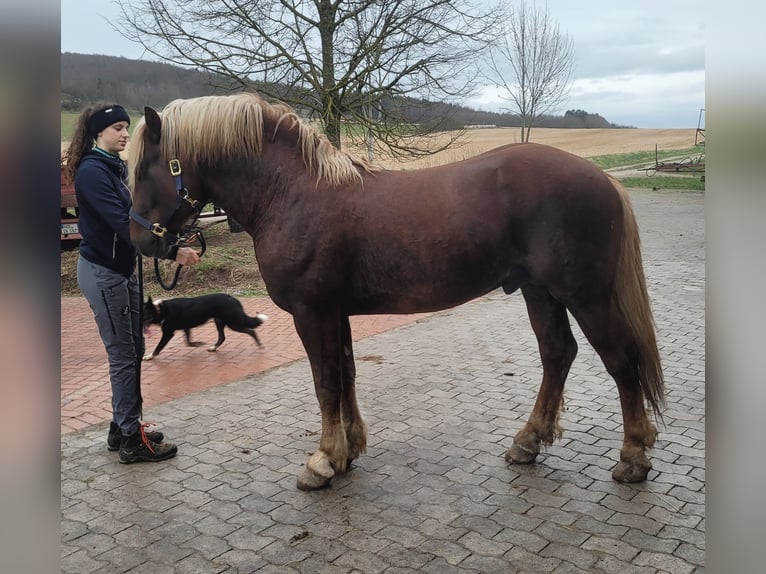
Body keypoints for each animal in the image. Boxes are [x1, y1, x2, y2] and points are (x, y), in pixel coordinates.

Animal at [127, 92, 664, 491]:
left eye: (140, 169)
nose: (137, 239)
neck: (291, 193)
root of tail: (604, 180)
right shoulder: (335, 312)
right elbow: (344, 375)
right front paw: (347, 452)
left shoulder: (311, 312)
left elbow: (326, 382)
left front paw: (322, 462)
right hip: (540, 292)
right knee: (558, 354)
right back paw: (528, 442)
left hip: (585, 295)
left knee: (621, 360)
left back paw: (633, 456)